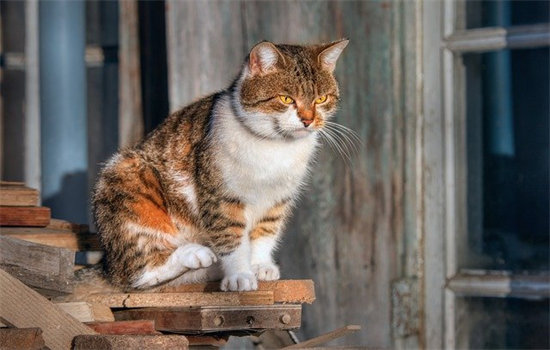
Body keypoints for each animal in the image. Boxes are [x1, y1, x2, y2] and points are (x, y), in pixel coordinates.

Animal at [91, 38, 350, 292]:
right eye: (286, 99)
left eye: (321, 99)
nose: (308, 120)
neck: (275, 148)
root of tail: (106, 263)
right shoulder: (221, 197)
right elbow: (231, 237)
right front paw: (240, 276)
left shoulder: (277, 199)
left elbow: (265, 233)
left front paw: (260, 265)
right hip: (123, 175)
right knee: (136, 273)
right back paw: (195, 254)